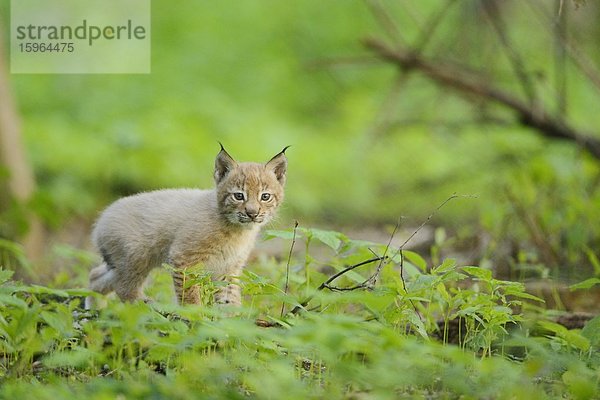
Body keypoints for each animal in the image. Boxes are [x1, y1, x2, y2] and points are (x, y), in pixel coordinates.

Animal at [84, 145, 288, 310]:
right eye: (239, 196)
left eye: (265, 197)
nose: (252, 213)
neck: (238, 230)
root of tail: (102, 218)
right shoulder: (184, 259)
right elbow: (189, 294)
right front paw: (195, 316)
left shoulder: (229, 267)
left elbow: (229, 295)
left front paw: (233, 323)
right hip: (137, 256)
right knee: (124, 288)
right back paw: (148, 306)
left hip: (124, 260)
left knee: (96, 276)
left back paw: (95, 308)